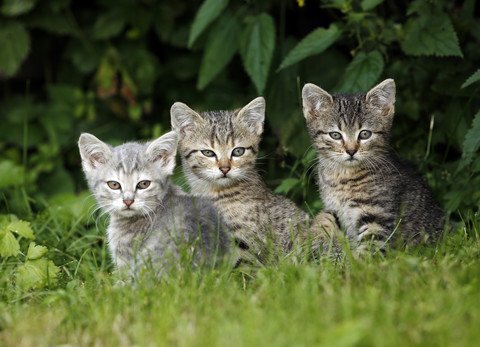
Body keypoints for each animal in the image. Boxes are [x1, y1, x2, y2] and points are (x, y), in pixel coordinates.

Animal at [302, 79, 444, 253]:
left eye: (365, 134)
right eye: (335, 135)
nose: (351, 150)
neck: (343, 177)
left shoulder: (377, 214)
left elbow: (368, 249)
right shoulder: (335, 209)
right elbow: (324, 218)